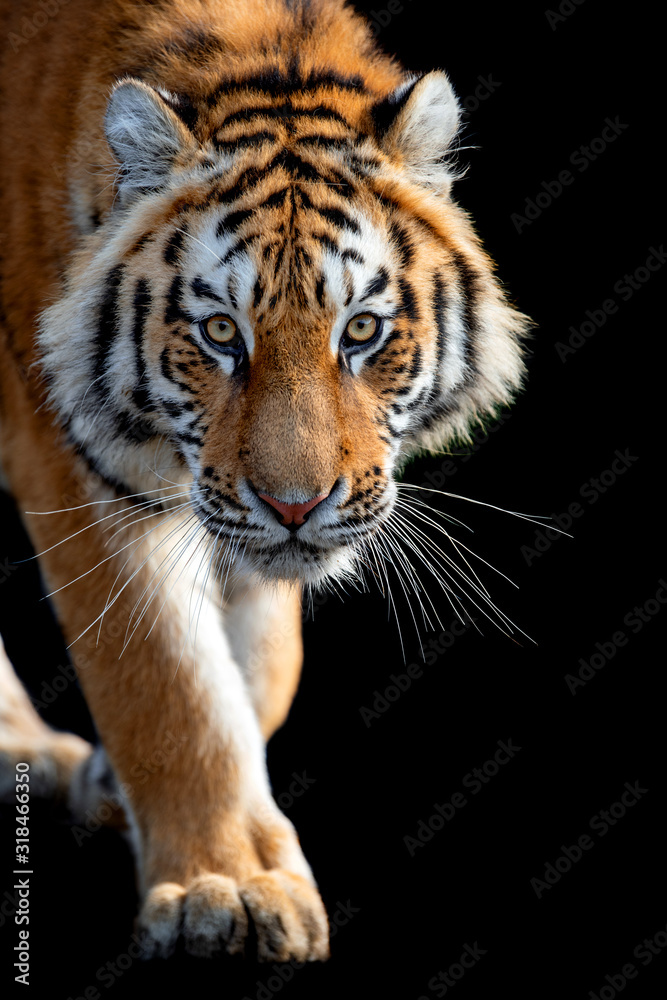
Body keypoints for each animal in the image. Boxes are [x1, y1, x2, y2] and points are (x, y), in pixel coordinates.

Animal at [1, 0, 532, 968]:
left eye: (360, 330)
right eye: (219, 332)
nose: (294, 505)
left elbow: (262, 670)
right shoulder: (74, 459)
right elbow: (166, 682)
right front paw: (225, 891)